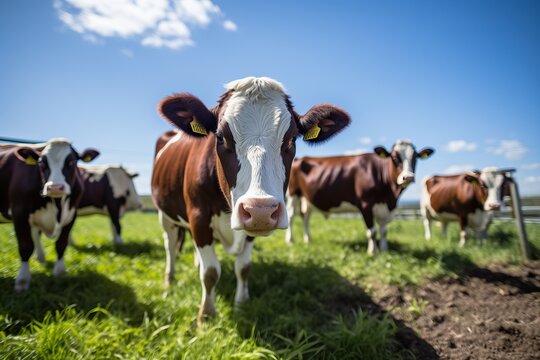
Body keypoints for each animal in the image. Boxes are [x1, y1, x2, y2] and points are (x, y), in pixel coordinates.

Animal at [0, 136, 99, 292]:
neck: (57, 205)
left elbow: (61, 244)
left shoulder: (71, 215)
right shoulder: (19, 213)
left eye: (71, 161)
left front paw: (59, 273)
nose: (55, 187)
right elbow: (25, 246)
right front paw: (22, 281)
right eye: (41, 163)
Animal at [150, 76, 350, 324]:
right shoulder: (198, 217)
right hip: (164, 213)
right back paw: (170, 279)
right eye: (220, 137)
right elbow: (210, 272)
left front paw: (242, 304)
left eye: (292, 139)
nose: (261, 210)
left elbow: (243, 268)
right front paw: (206, 315)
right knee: (169, 244)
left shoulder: (249, 231)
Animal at [286, 139, 434, 255]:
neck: (390, 195)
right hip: (294, 193)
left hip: (307, 199)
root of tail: (301, 158)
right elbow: (372, 231)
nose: (408, 177)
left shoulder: (385, 207)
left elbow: (384, 231)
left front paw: (384, 249)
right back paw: (290, 240)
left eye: (415, 158)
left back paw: (308, 240)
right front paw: (372, 252)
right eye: (394, 158)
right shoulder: (365, 204)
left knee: (305, 217)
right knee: (291, 215)